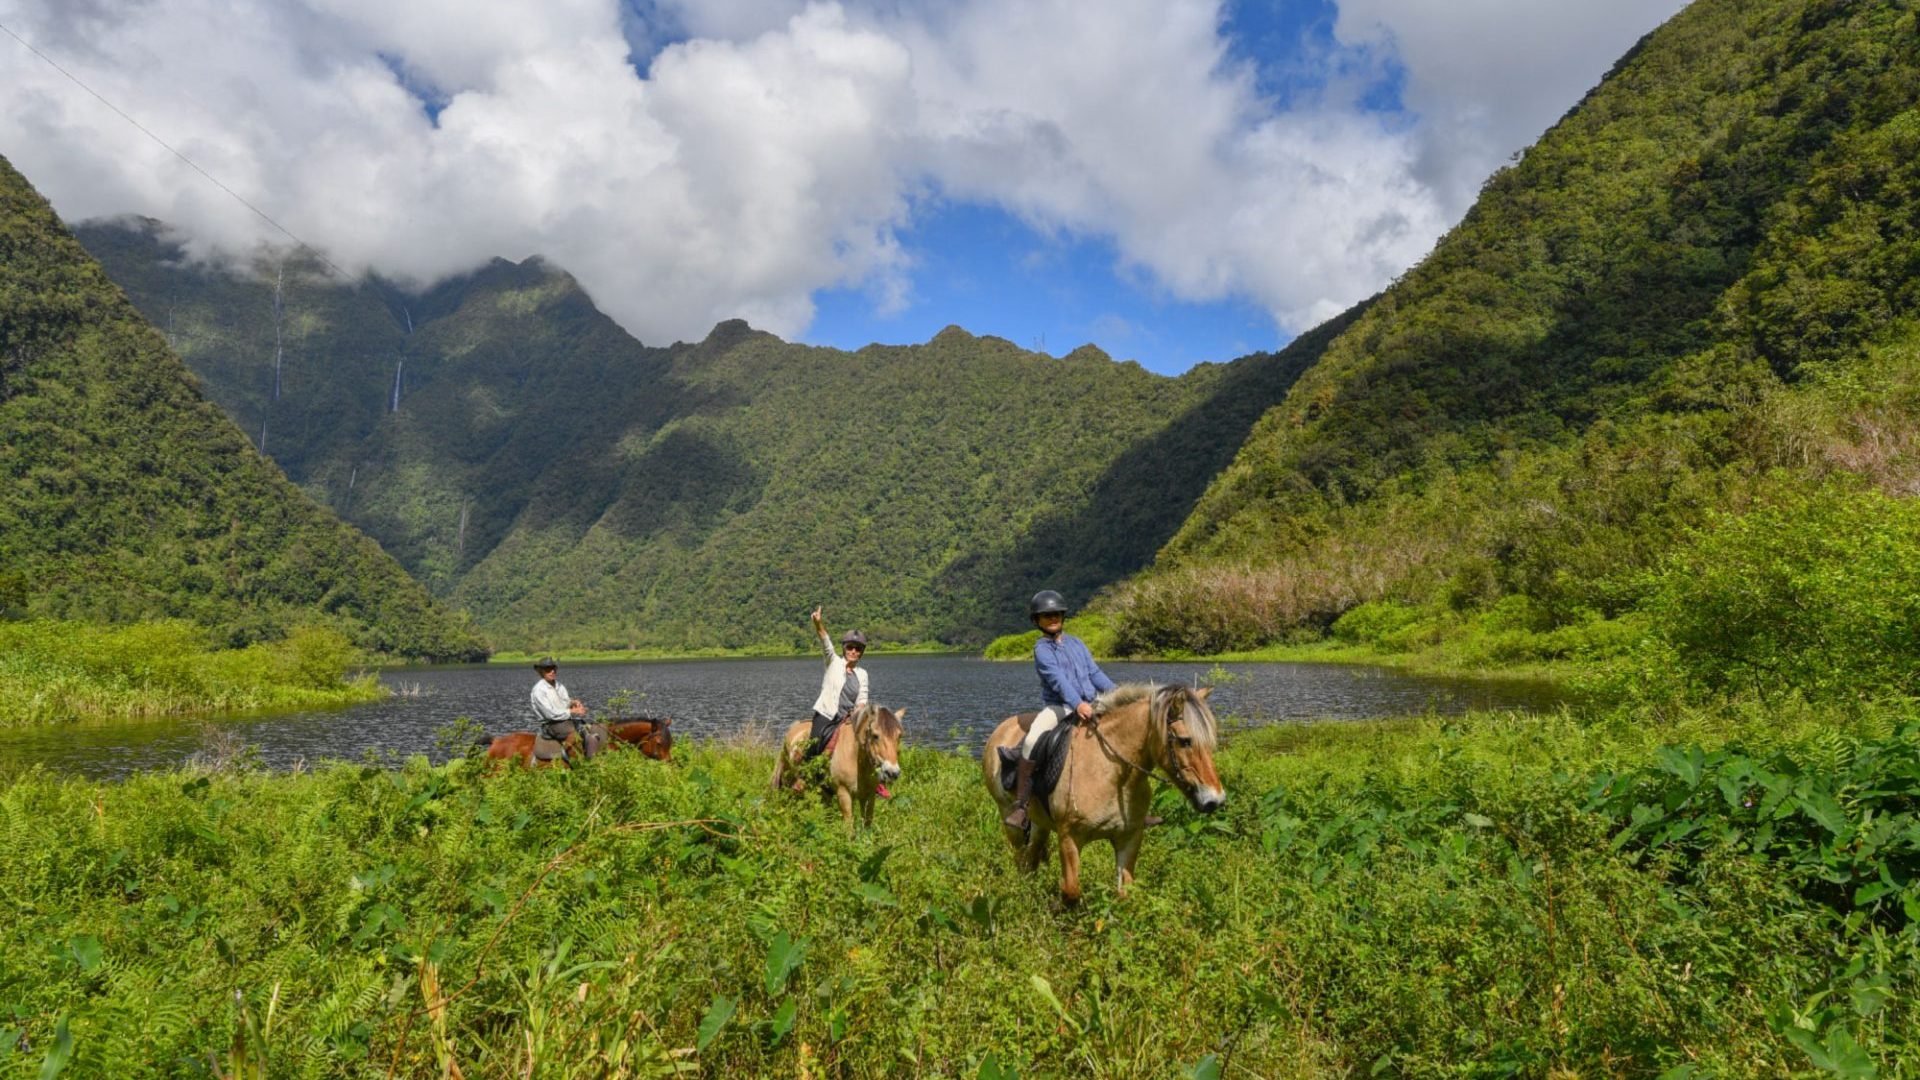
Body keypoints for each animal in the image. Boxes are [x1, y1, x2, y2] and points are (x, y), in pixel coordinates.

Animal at [771, 703, 906, 837]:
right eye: (875, 736)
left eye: (899, 736)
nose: (892, 772)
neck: (856, 758)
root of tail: (795, 727)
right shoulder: (843, 793)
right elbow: (849, 828)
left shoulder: (869, 795)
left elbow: (867, 825)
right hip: (789, 779)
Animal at [983, 680, 1221, 899]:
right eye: (1185, 741)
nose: (1215, 800)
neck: (1112, 774)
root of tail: (1002, 728)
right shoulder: (1069, 837)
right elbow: (1070, 892)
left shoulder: (1129, 837)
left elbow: (1125, 892)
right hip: (1010, 819)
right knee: (1021, 859)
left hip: (1039, 823)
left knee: (1030, 859)